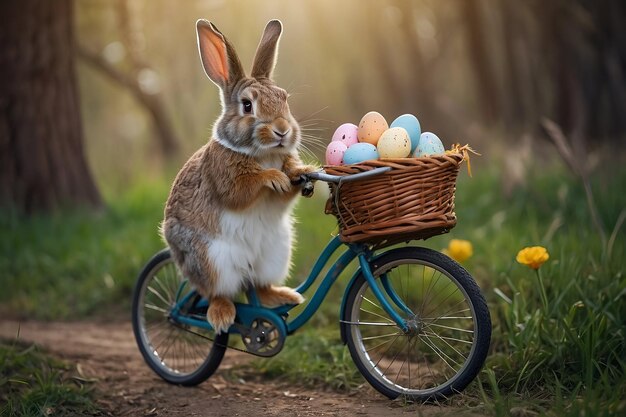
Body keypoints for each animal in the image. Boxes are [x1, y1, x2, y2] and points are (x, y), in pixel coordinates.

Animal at [162, 18, 316, 334]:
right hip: (211, 261)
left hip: (275, 253)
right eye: (247, 106)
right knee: (215, 293)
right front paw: (272, 177)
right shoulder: (225, 178)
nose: (282, 130)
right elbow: (241, 191)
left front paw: (303, 171)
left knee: (259, 286)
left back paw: (286, 296)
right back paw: (221, 316)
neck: (263, 153)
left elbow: (288, 185)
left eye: (285, 100)